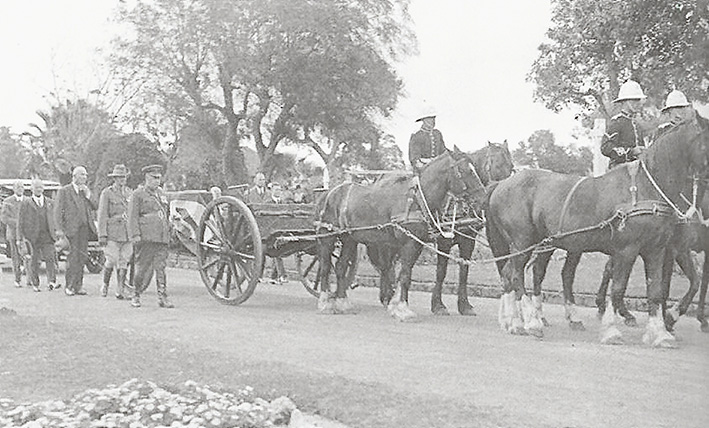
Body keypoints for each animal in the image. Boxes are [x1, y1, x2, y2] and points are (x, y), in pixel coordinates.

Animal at [316, 150, 486, 320]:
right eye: (467, 171)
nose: (483, 198)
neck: (417, 199)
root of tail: (328, 193)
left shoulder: (417, 244)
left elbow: (406, 274)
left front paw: (397, 305)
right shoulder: (411, 243)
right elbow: (405, 275)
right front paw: (403, 309)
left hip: (350, 239)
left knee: (341, 266)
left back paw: (342, 302)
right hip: (328, 237)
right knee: (325, 266)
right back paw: (325, 302)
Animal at [426, 142, 516, 316]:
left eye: (511, 166)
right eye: (496, 165)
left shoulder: (468, 239)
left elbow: (464, 271)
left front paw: (464, 305)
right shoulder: (444, 240)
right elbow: (441, 271)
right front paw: (438, 304)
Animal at [484, 118, 708, 348]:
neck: (646, 188)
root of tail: (501, 184)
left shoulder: (656, 250)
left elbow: (655, 291)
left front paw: (660, 333)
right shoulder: (627, 250)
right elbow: (618, 289)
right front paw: (612, 330)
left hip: (536, 244)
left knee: (509, 275)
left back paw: (514, 321)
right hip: (523, 243)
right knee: (516, 277)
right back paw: (531, 322)